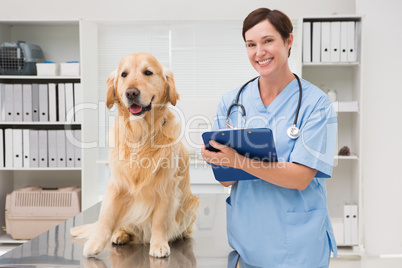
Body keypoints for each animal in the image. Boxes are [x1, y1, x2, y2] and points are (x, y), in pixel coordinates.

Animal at [72, 51, 199, 258]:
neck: (141, 135)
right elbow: (106, 216)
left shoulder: (166, 185)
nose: (131, 92)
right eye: (124, 74)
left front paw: (159, 244)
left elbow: (160, 220)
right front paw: (96, 243)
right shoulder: (116, 183)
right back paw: (120, 235)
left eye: (148, 72)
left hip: (192, 204)